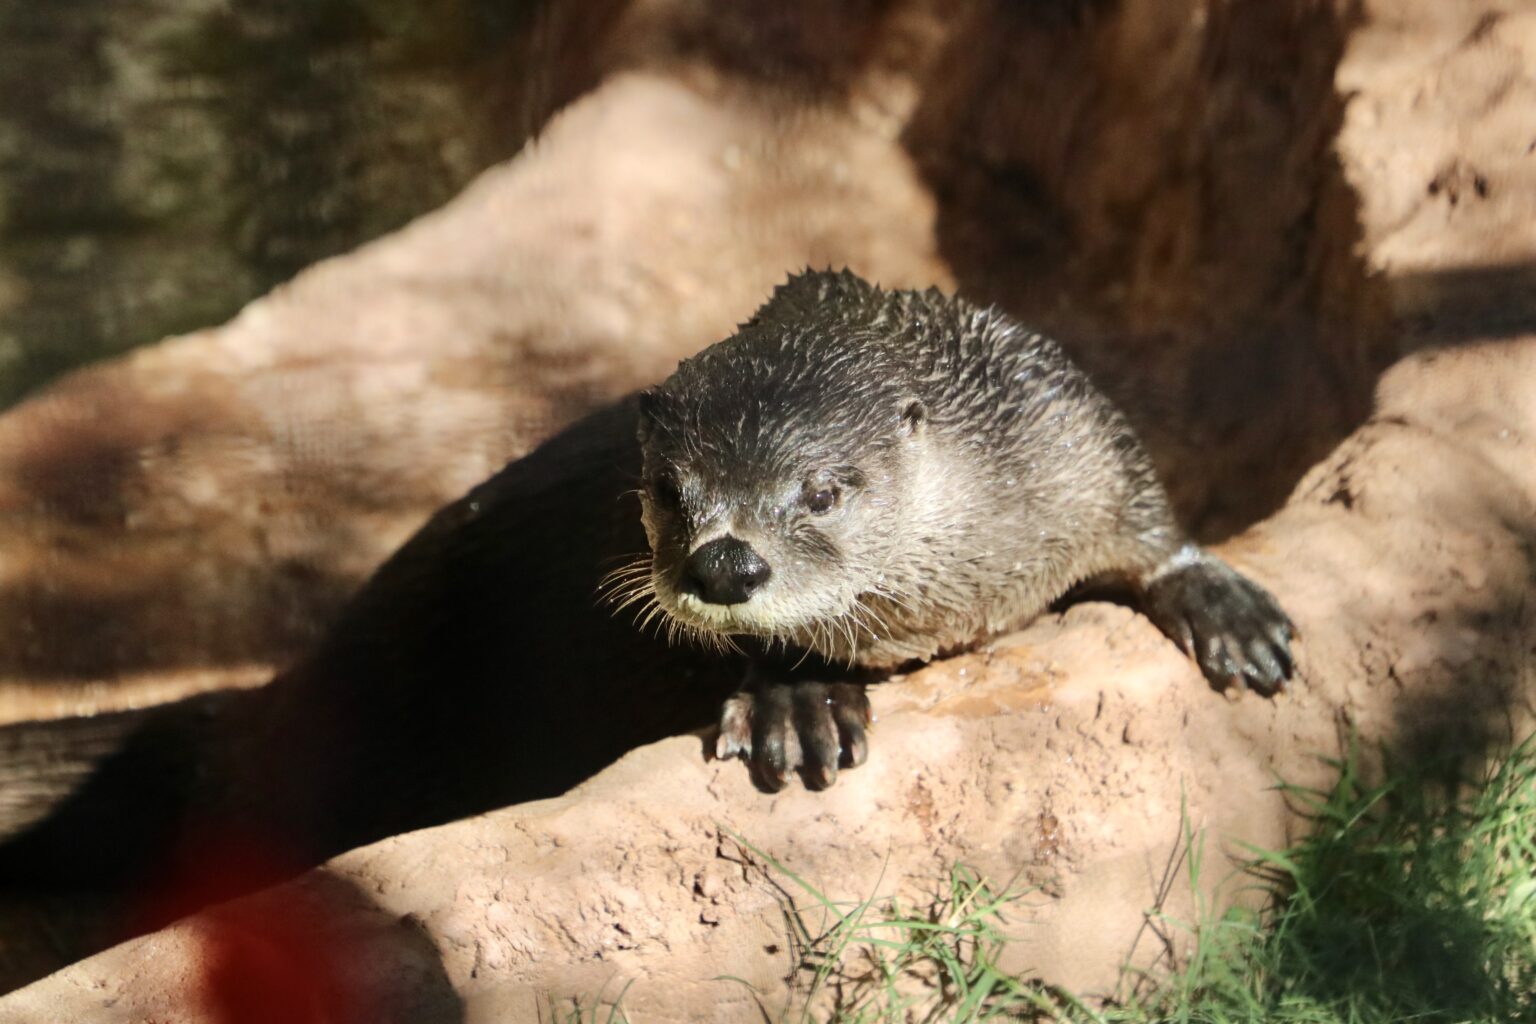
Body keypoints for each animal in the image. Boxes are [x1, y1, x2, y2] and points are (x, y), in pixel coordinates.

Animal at [617, 269, 1294, 789]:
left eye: (822, 493)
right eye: (667, 489)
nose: (724, 564)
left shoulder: (1065, 423)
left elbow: (1146, 516)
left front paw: (1222, 606)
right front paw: (795, 699)